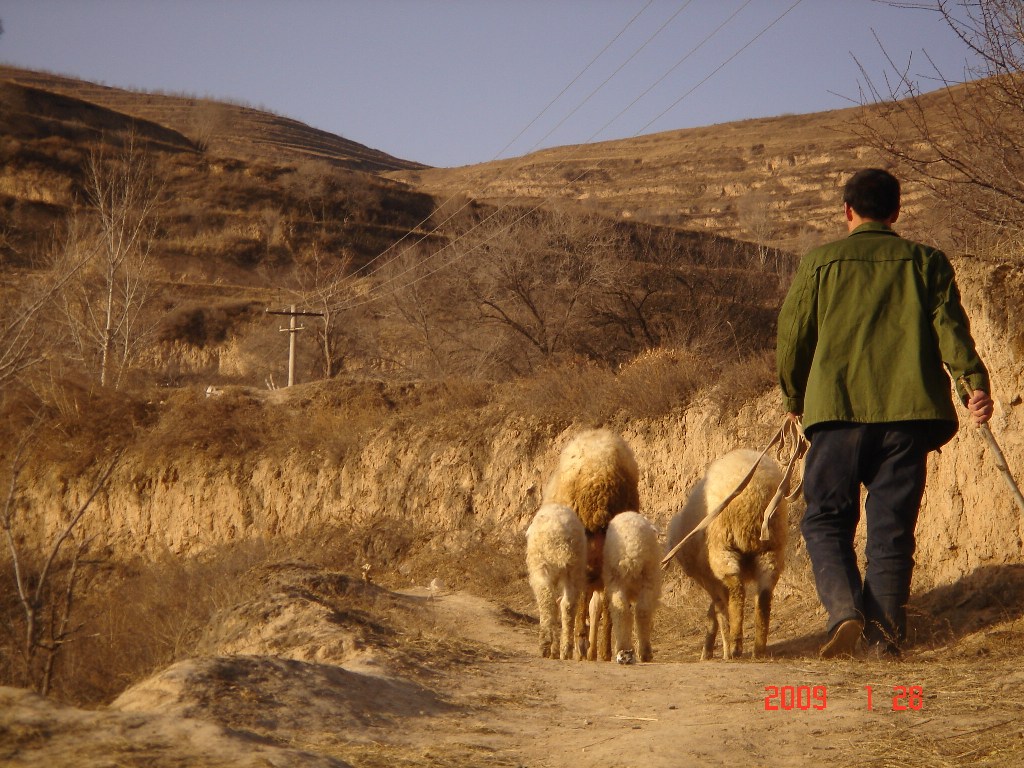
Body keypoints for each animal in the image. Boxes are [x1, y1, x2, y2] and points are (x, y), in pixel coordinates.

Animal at [524, 505, 589, 663]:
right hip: (575, 569)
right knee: (568, 605)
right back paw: (565, 649)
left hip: (542, 566)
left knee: (547, 601)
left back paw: (545, 645)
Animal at [593, 512, 663, 663]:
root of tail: (631, 547)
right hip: (645, 577)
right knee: (640, 611)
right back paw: (639, 651)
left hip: (620, 579)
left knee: (627, 611)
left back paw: (628, 649)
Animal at [667, 450, 786, 663]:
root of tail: (755, 493)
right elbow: (715, 609)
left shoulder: (709, 579)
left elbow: (720, 608)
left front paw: (720, 646)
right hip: (771, 548)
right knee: (764, 595)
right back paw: (758, 648)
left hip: (722, 546)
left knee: (737, 589)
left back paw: (735, 645)